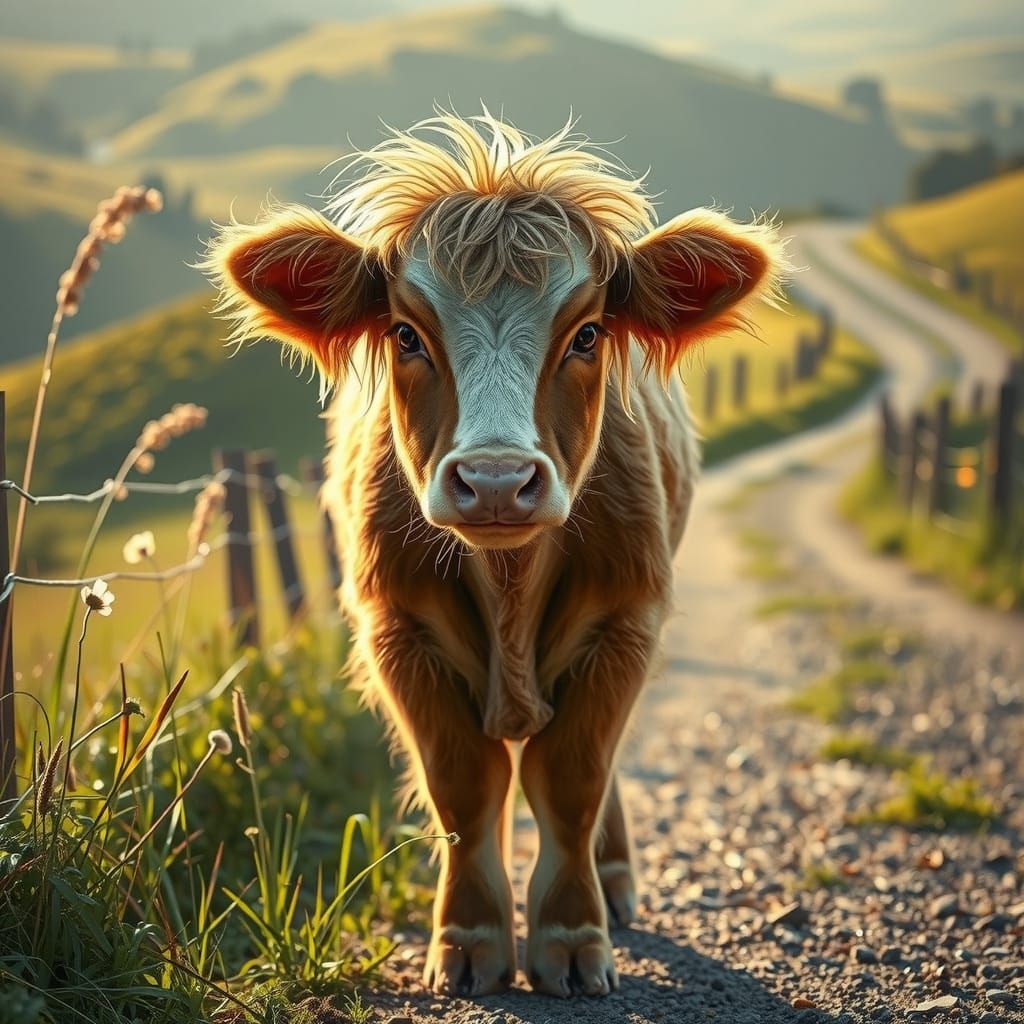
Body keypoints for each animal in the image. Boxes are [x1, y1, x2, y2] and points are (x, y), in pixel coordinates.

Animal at [205, 112, 786, 1000]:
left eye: (587, 334)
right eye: (406, 333)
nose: (497, 481)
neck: (510, 581)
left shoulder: (625, 620)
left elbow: (573, 779)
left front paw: (573, 937)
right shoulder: (398, 630)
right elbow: (465, 786)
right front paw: (470, 939)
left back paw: (614, 879)